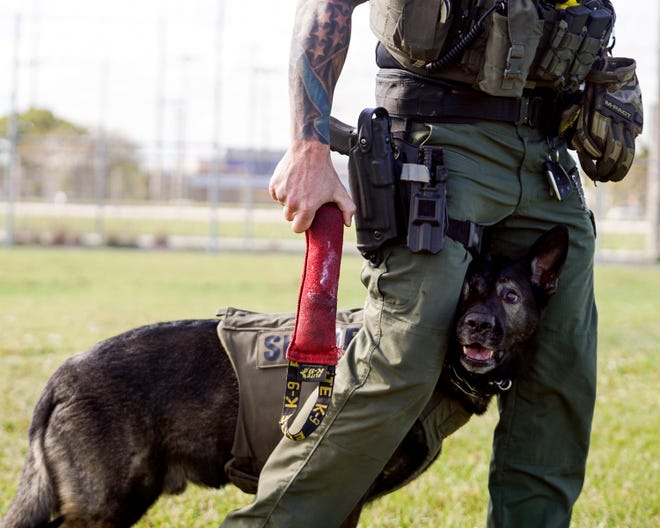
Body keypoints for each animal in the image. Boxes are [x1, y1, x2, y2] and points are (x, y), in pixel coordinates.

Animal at [0, 226, 568, 528]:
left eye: (509, 297)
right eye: (466, 290)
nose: (477, 326)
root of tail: (62, 376)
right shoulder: (339, 494)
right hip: (105, 506)